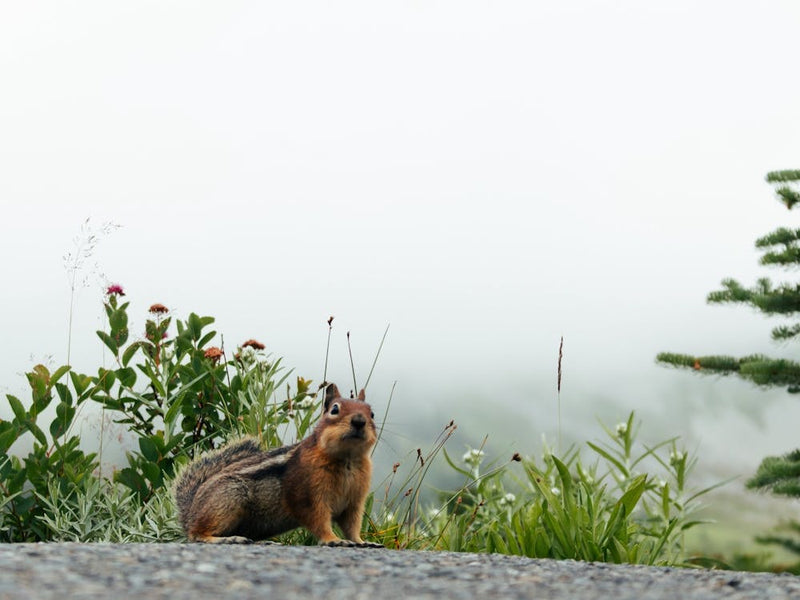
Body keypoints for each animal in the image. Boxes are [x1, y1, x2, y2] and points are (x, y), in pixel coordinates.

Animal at [173, 382, 382, 547]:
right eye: (335, 409)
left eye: (372, 413)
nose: (359, 421)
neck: (348, 459)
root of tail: (189, 512)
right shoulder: (309, 495)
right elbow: (319, 520)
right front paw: (333, 539)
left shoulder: (354, 501)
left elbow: (352, 526)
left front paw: (362, 541)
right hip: (228, 497)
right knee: (196, 534)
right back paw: (227, 538)